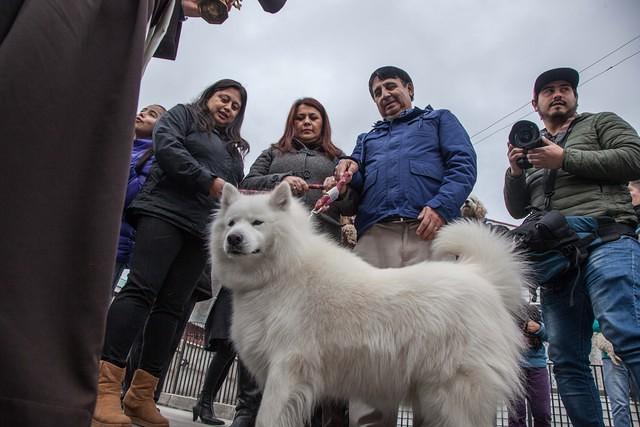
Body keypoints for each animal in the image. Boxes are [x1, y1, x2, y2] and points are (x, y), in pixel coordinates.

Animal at [210, 184, 524, 427]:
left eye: (257, 223)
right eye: (231, 223)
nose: (233, 239)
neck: (282, 271)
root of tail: (478, 273)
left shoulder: (287, 368)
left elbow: (268, 417)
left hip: (452, 392)